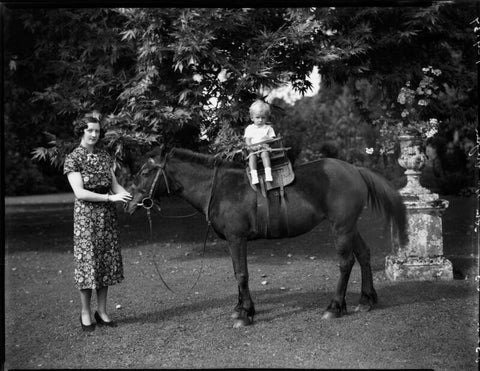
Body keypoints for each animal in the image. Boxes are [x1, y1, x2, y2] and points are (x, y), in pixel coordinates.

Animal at [125, 147, 406, 328]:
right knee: (364, 254)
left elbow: (242, 274)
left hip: (341, 227)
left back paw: (334, 307)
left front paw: (246, 314)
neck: (218, 189)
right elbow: (236, 272)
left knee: (346, 263)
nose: (129, 202)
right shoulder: (232, 241)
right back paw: (366, 300)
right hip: (350, 226)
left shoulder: (237, 238)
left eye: (145, 172)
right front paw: (240, 308)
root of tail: (354, 169)